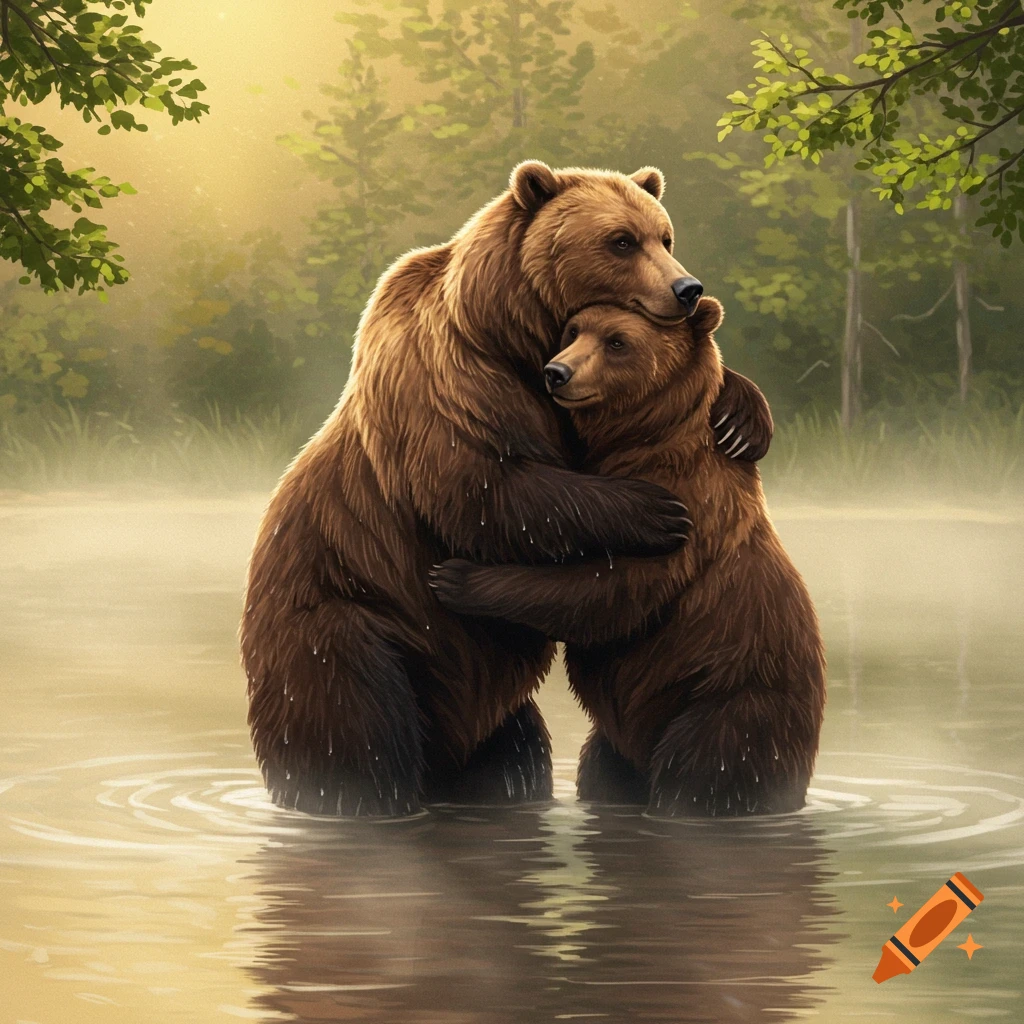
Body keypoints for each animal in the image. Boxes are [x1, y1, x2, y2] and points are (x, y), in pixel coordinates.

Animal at [240, 162, 775, 817]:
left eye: (664, 235)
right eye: (621, 240)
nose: (687, 289)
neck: (513, 334)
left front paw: (741, 418)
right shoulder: (450, 380)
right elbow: (482, 492)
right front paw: (654, 509)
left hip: (488, 696)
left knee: (514, 754)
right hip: (343, 626)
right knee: (353, 737)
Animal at [429, 296, 825, 817]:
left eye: (618, 342)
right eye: (573, 329)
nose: (557, 372)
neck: (643, 441)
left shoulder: (692, 509)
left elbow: (608, 592)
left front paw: (456, 577)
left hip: (730, 707)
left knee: (703, 777)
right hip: (618, 741)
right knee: (602, 770)